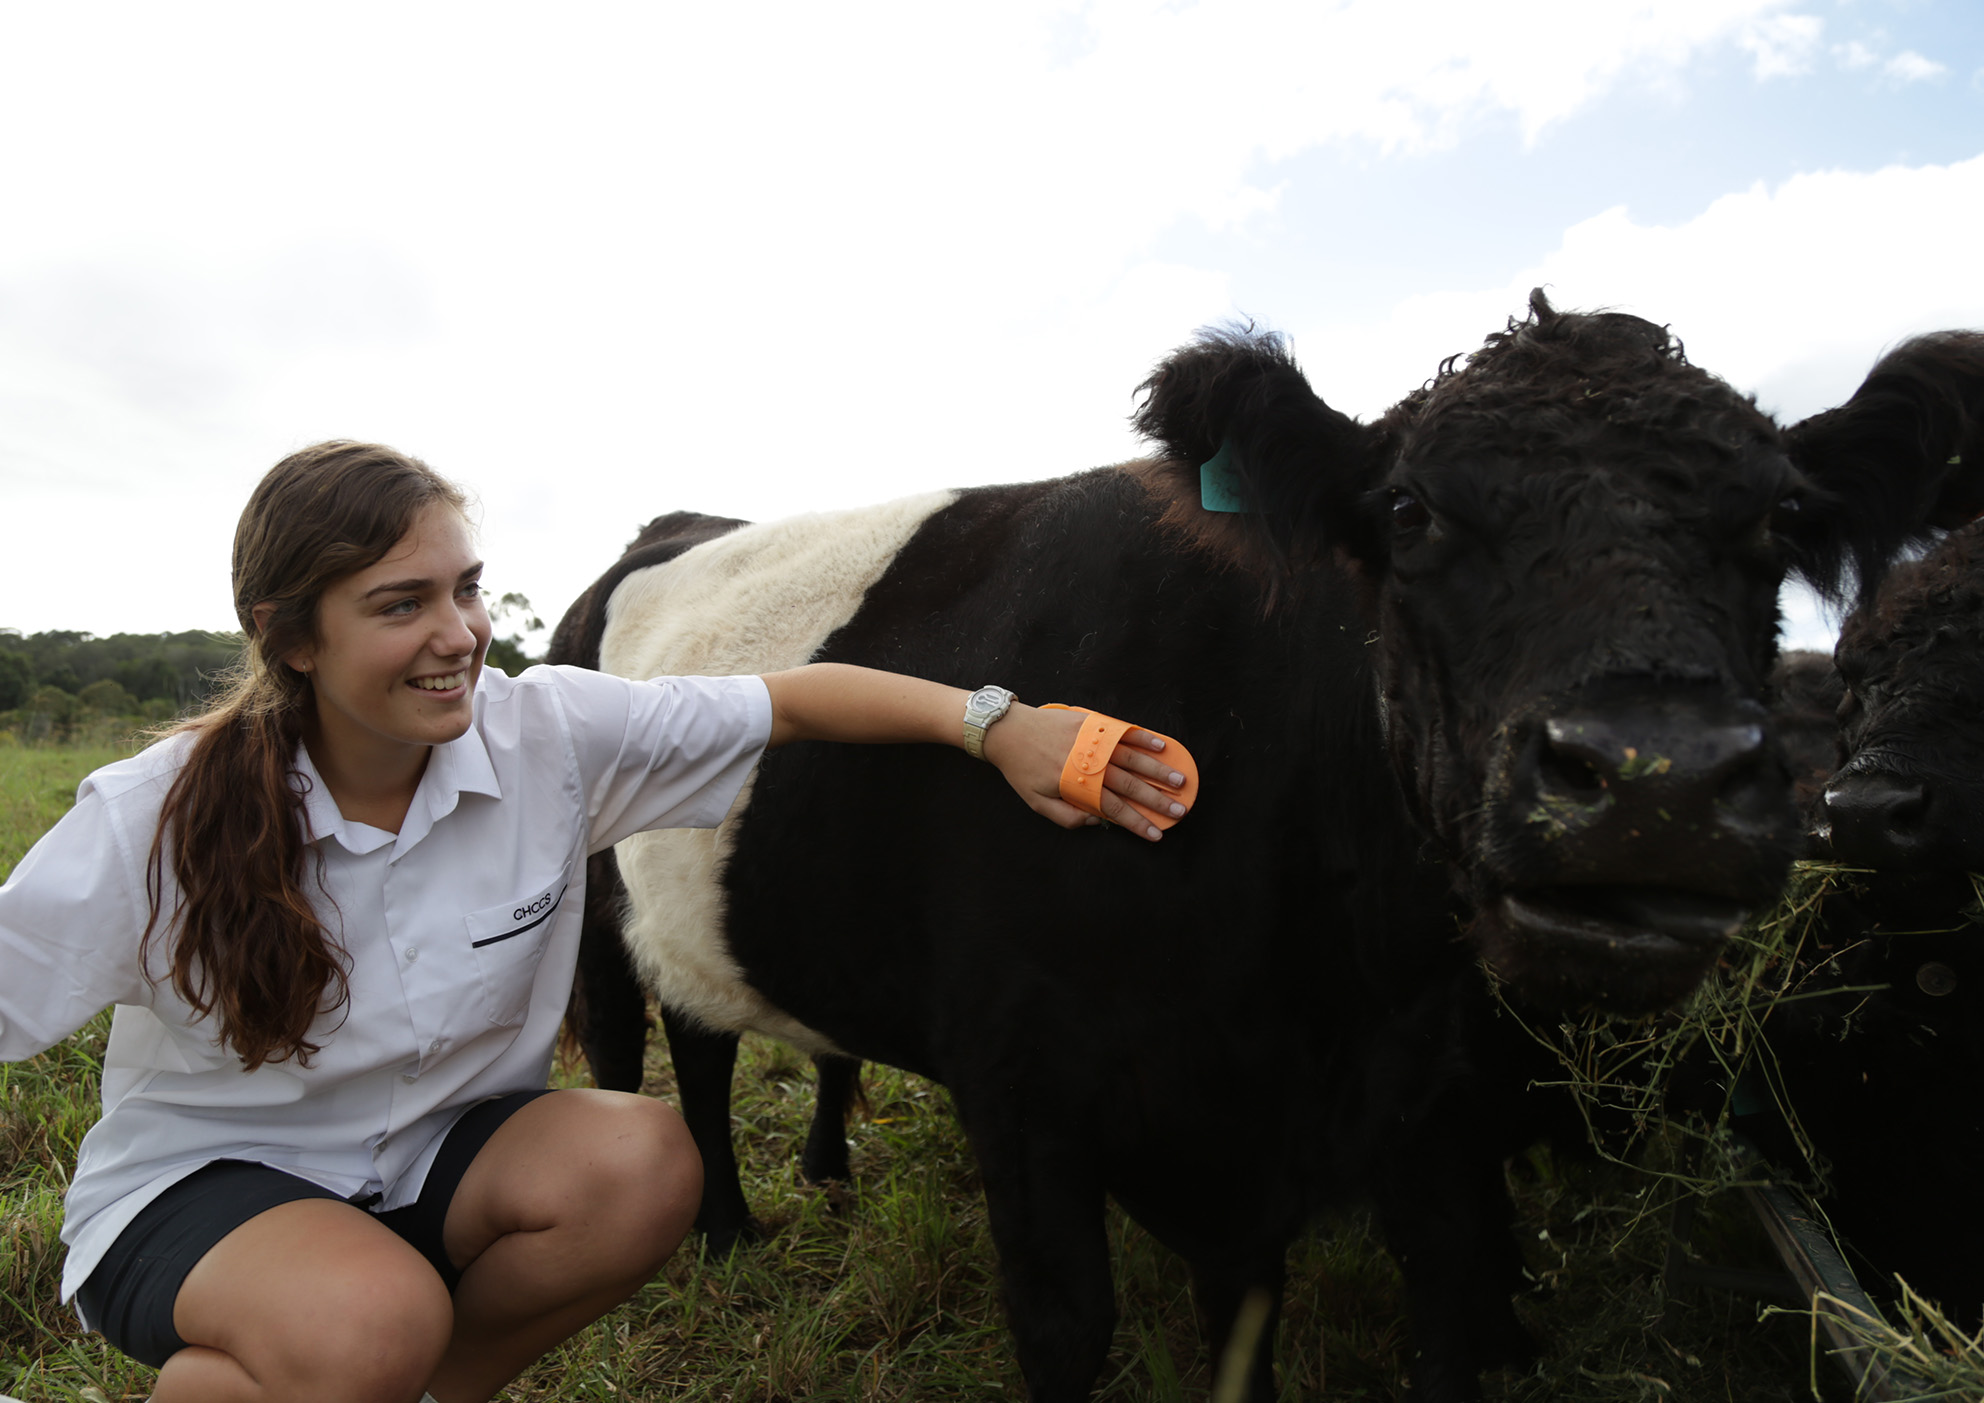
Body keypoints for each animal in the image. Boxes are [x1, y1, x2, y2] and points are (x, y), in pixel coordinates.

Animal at [547, 291, 1984, 1397]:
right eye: (1407, 514)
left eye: (1779, 521)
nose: (1653, 780)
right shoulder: (1024, 1090)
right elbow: (1067, 1330)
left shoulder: (1381, 1122)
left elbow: (1341, 1312)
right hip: (594, 922)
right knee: (635, 1057)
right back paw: (713, 1233)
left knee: (710, 1039)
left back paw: (769, 1203)